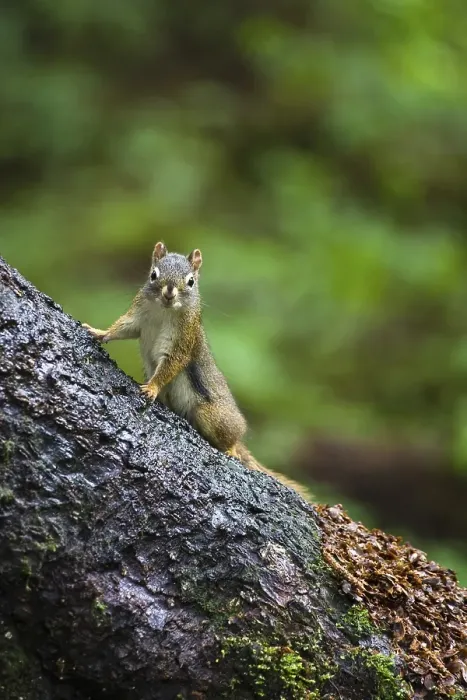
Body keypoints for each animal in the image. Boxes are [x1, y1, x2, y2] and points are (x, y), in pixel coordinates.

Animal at [83, 242, 310, 500]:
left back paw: (232, 449)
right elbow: (122, 329)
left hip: (212, 415)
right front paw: (98, 332)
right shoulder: (137, 317)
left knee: (231, 438)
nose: (169, 293)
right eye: (153, 274)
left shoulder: (183, 340)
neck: (164, 311)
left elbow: (171, 364)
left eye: (191, 281)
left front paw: (152, 387)